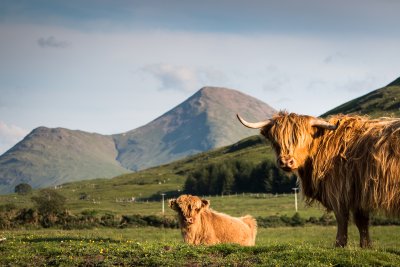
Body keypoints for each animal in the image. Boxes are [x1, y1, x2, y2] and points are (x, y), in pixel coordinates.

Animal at [238, 112, 400, 248]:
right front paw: (366, 246)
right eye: (276, 141)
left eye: (302, 139)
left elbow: (342, 218)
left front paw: (339, 244)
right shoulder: (358, 194)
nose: (286, 161)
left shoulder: (339, 191)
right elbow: (362, 221)